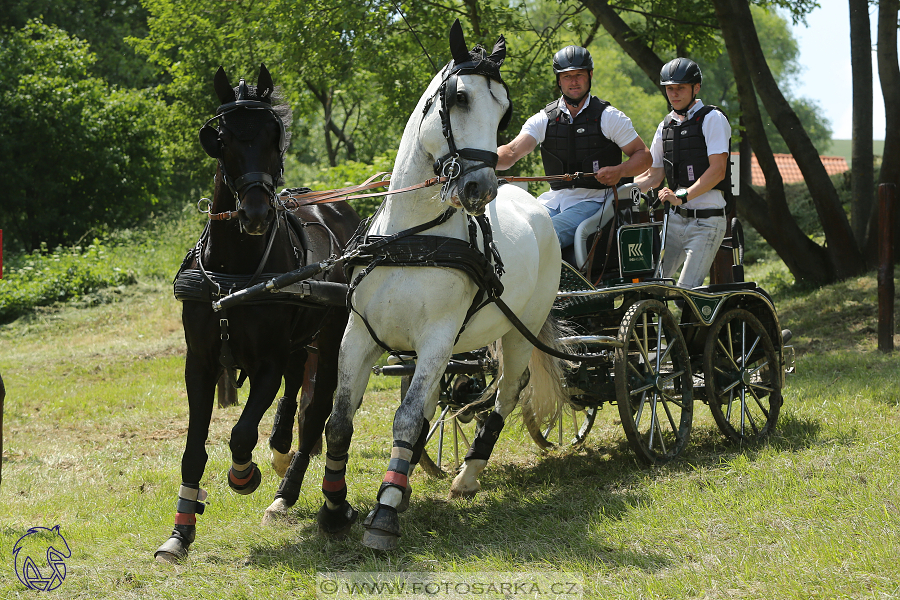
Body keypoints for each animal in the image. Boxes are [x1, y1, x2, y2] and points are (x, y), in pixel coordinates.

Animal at [156, 65, 360, 564]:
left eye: (273, 135)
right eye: (224, 138)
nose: (254, 213)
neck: (235, 270)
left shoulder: (266, 362)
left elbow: (241, 433)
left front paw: (243, 475)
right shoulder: (200, 362)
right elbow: (193, 449)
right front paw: (180, 532)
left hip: (331, 335)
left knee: (316, 412)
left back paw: (292, 491)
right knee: (297, 386)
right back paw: (282, 455)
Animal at [268, 19, 568, 552]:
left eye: (505, 111)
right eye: (460, 97)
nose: (480, 189)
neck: (413, 239)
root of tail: (534, 204)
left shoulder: (436, 337)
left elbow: (406, 420)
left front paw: (383, 516)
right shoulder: (358, 335)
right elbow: (339, 421)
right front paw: (334, 510)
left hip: (518, 331)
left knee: (508, 393)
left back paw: (467, 475)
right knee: (433, 403)